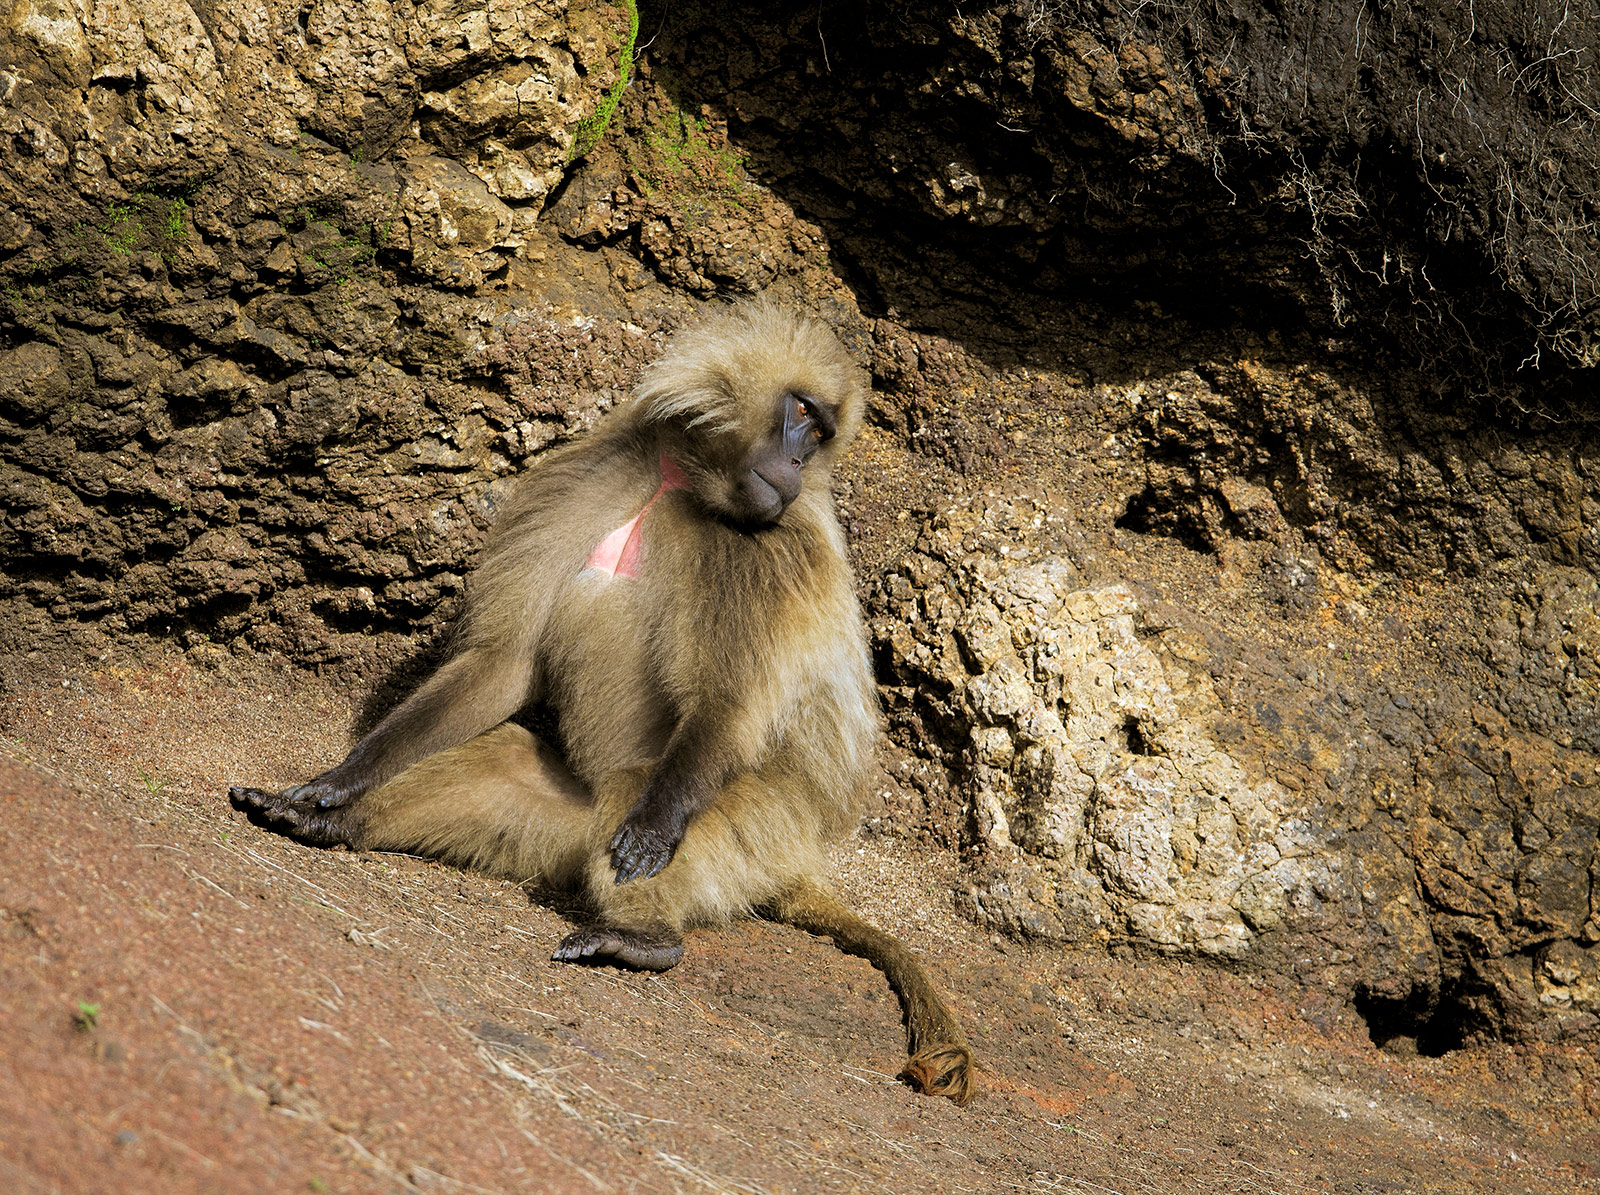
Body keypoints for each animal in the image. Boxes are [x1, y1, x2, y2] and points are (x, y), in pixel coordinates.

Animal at [230, 301, 974, 1105]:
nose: (800, 466)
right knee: (504, 759)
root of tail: (801, 857)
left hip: (756, 825)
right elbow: (504, 662)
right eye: (802, 414)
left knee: (638, 794)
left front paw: (653, 830)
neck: (682, 480)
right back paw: (329, 824)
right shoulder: (593, 474)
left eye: (822, 431)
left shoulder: (760, 544)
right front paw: (338, 782)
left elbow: (725, 705)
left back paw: (644, 938)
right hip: (569, 825)